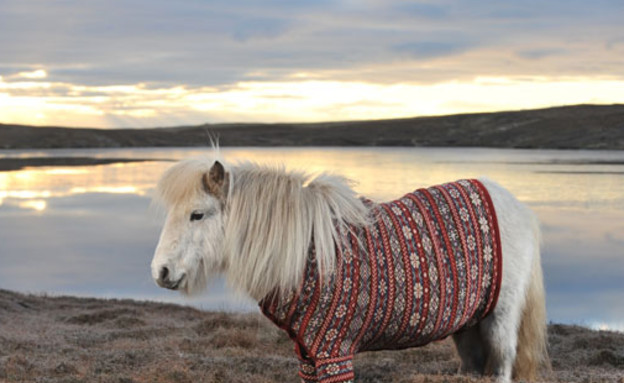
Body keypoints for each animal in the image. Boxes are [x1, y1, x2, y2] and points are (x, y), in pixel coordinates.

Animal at [150, 157, 544, 383]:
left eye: (197, 214)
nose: (160, 272)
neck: (305, 253)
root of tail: (513, 203)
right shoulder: (309, 354)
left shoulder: (332, 351)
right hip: (467, 325)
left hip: (499, 321)